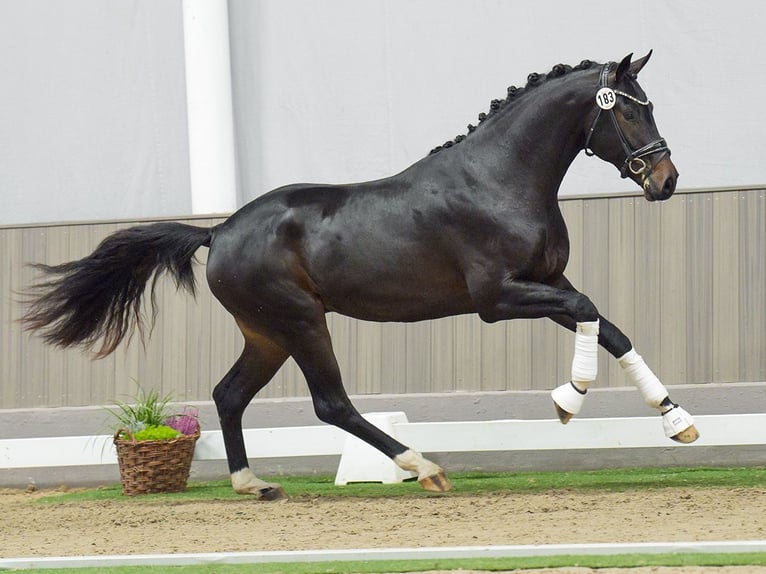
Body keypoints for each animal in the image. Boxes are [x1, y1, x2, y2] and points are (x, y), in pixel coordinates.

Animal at [22, 51, 696, 502]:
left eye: (648, 106)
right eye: (630, 112)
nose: (666, 181)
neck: (499, 179)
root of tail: (220, 232)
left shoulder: (547, 284)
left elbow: (608, 326)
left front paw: (676, 421)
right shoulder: (498, 297)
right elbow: (589, 313)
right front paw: (568, 400)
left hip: (266, 333)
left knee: (229, 394)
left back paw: (253, 484)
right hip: (301, 322)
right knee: (331, 403)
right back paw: (424, 469)